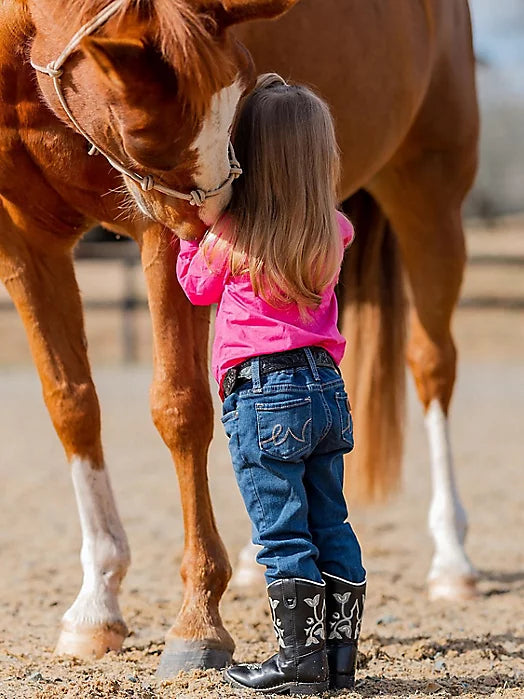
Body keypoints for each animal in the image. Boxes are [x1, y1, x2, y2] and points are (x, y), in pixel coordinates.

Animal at [0, 0, 478, 680]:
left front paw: (197, 622)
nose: (224, 225)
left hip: (429, 194)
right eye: (143, 131)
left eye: (242, 84)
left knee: (433, 365)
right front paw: (96, 607)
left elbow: (180, 409)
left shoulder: (158, 235)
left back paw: (452, 562)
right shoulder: (25, 240)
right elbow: (71, 405)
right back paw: (257, 564)